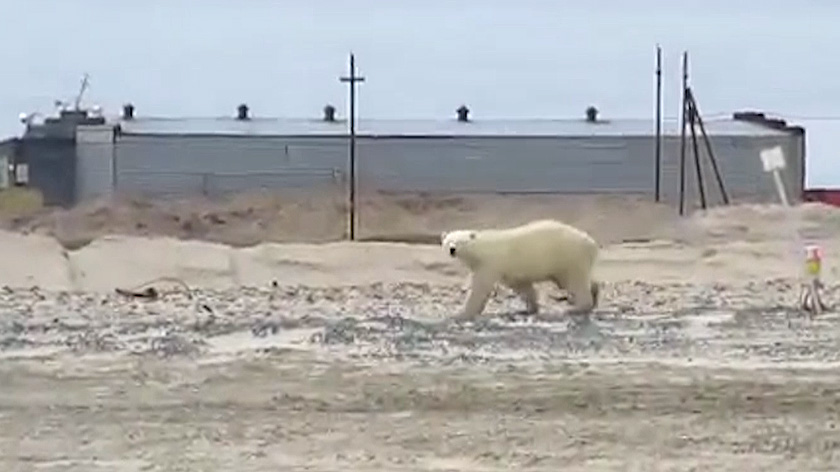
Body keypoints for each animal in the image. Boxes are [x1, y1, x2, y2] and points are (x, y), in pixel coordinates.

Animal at [442, 219, 600, 322]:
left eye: (461, 242)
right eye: (448, 241)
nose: (452, 249)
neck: (482, 250)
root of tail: (592, 243)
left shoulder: (490, 263)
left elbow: (480, 288)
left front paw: (461, 314)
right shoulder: (509, 271)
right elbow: (521, 286)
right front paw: (531, 308)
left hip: (569, 256)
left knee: (575, 282)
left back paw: (576, 308)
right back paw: (594, 294)